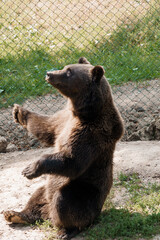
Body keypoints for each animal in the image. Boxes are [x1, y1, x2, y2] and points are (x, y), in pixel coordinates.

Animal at [3, 57, 124, 239]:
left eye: (68, 72)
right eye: (65, 67)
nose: (49, 73)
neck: (83, 112)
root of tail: (48, 216)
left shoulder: (92, 133)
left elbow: (72, 160)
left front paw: (30, 169)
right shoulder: (64, 120)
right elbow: (46, 128)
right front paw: (19, 112)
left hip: (87, 192)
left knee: (65, 201)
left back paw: (67, 229)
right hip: (47, 191)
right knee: (37, 196)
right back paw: (15, 214)